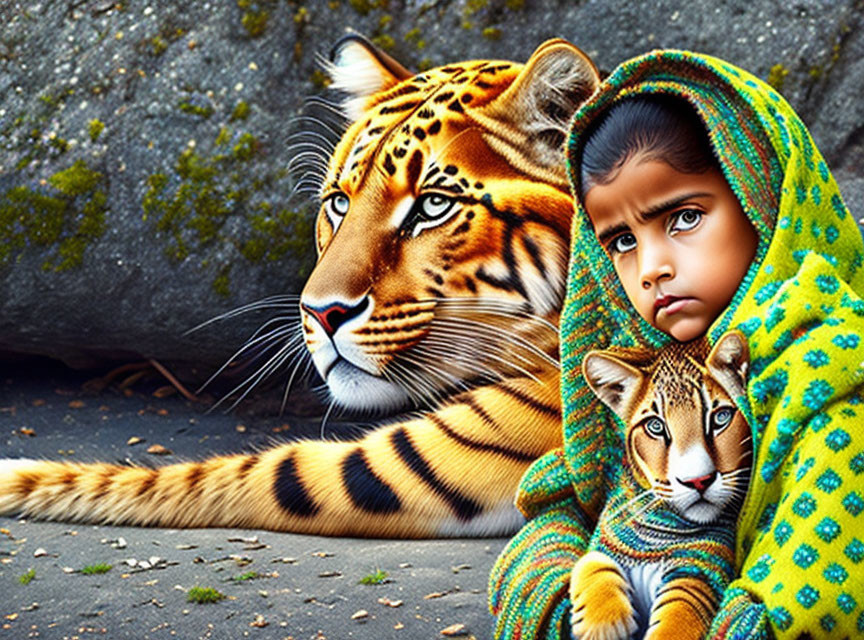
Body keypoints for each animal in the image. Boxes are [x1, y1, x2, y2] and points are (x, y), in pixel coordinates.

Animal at [0, 33, 600, 536]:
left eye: (432, 206)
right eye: (339, 203)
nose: (320, 314)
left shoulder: (409, 460)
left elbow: (230, 473)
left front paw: (16, 474)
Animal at [572, 332, 752, 636]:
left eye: (720, 418)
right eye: (655, 426)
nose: (698, 481)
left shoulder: (698, 571)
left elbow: (678, 617)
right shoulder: (606, 540)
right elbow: (591, 561)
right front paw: (604, 623)